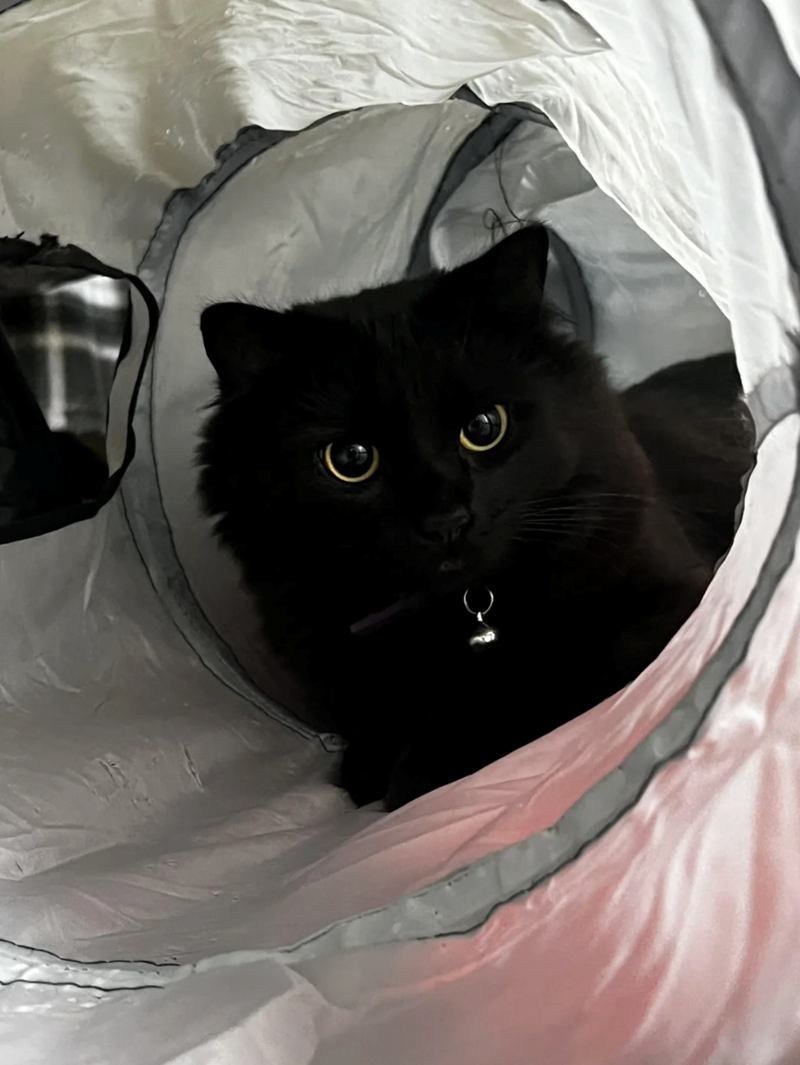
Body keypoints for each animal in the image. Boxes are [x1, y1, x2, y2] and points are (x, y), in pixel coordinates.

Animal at [197, 224, 754, 810]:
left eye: (485, 427)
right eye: (350, 459)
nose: (446, 520)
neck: (467, 610)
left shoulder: (677, 597)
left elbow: (547, 675)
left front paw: (419, 770)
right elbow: (371, 746)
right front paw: (381, 768)